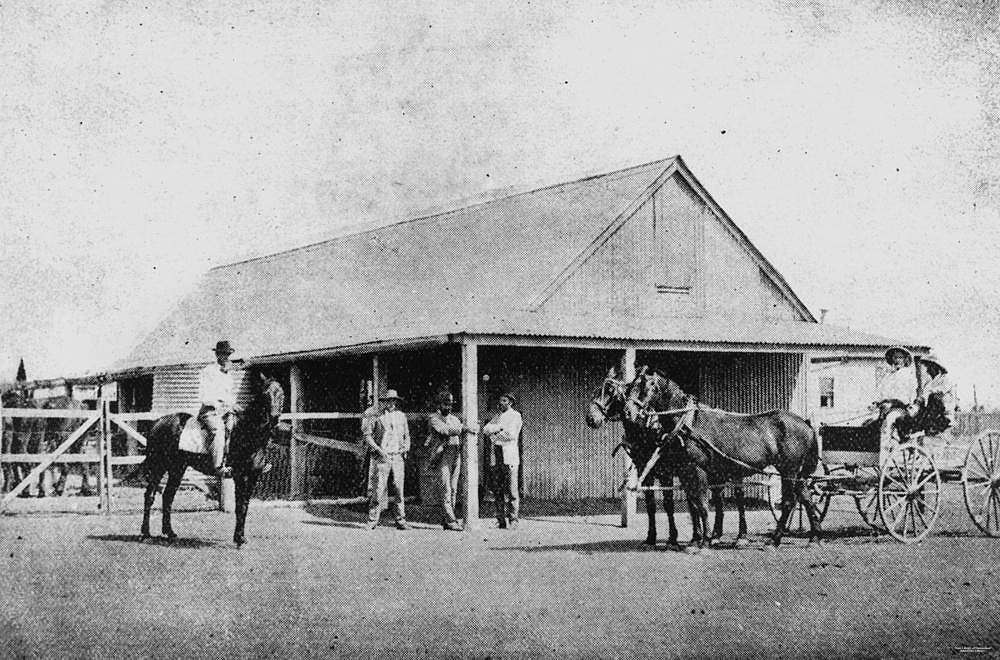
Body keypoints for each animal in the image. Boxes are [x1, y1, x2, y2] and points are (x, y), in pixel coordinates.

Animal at [140, 372, 286, 548]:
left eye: (282, 394)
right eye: (264, 394)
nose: (274, 419)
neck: (246, 433)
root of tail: (157, 423)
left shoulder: (253, 476)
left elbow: (245, 505)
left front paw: (241, 538)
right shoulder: (239, 476)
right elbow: (239, 506)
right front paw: (238, 539)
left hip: (177, 467)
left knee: (168, 496)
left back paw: (170, 533)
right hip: (159, 466)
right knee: (150, 495)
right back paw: (145, 534)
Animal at [632, 366, 820, 548]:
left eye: (648, 385)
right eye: (631, 385)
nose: (632, 412)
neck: (688, 422)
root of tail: (806, 423)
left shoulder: (698, 469)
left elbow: (702, 505)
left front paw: (706, 540)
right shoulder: (687, 471)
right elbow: (695, 504)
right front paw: (698, 539)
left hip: (789, 470)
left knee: (788, 501)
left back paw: (775, 540)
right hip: (797, 473)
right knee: (806, 497)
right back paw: (813, 538)